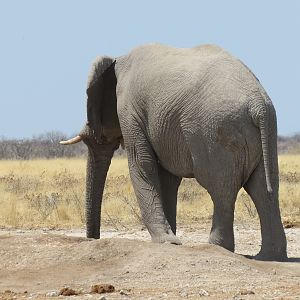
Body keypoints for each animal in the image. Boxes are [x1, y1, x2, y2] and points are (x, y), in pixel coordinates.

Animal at [60, 44, 286, 260]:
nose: (93, 239)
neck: (118, 59)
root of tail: (258, 105)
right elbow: (167, 178)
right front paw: (172, 239)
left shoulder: (130, 111)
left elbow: (142, 164)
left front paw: (168, 242)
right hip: (266, 133)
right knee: (264, 189)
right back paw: (269, 256)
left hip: (215, 133)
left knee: (221, 189)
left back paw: (217, 247)